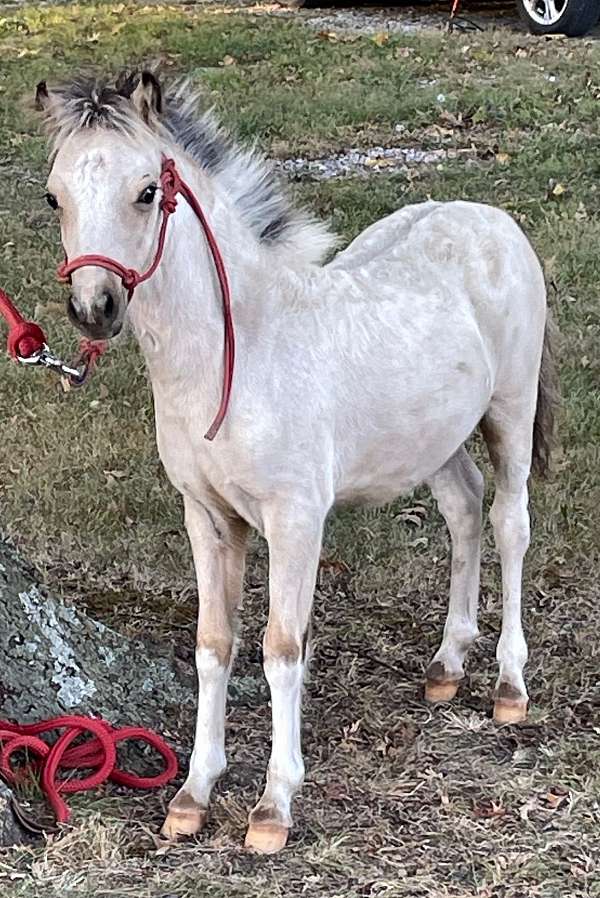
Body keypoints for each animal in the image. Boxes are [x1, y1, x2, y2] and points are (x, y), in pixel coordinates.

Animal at [35, 71, 557, 853]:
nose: (95, 308)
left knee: (510, 524)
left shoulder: (295, 519)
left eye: (147, 191)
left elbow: (283, 648)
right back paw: (446, 665)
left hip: (511, 413)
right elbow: (213, 644)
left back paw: (508, 687)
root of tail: (491, 217)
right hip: (432, 438)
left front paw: (274, 805)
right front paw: (192, 795)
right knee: (464, 511)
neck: (244, 349)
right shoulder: (206, 517)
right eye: (54, 195)